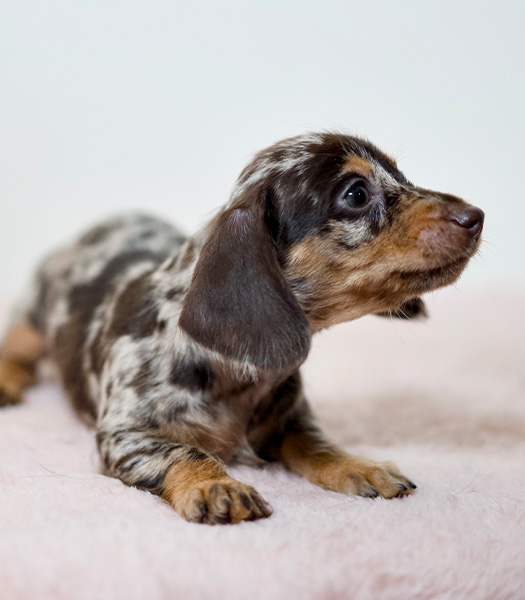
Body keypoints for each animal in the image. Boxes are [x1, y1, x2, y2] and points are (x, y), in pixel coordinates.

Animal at [0, 134, 484, 524]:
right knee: (17, 343)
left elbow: (318, 443)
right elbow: (184, 450)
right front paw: (216, 485)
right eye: (356, 193)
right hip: (33, 317)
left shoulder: (289, 419)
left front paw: (360, 465)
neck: (232, 370)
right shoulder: (126, 436)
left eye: (401, 176)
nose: (477, 215)